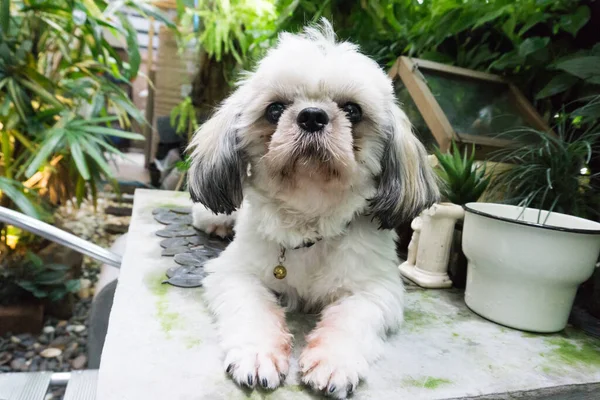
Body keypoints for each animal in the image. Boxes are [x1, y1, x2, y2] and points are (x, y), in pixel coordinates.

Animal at [189, 18, 440, 396]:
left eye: (352, 110)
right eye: (274, 110)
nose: (312, 115)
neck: (311, 217)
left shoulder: (376, 289)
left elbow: (351, 318)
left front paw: (333, 362)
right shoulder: (235, 272)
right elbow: (254, 308)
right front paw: (257, 353)